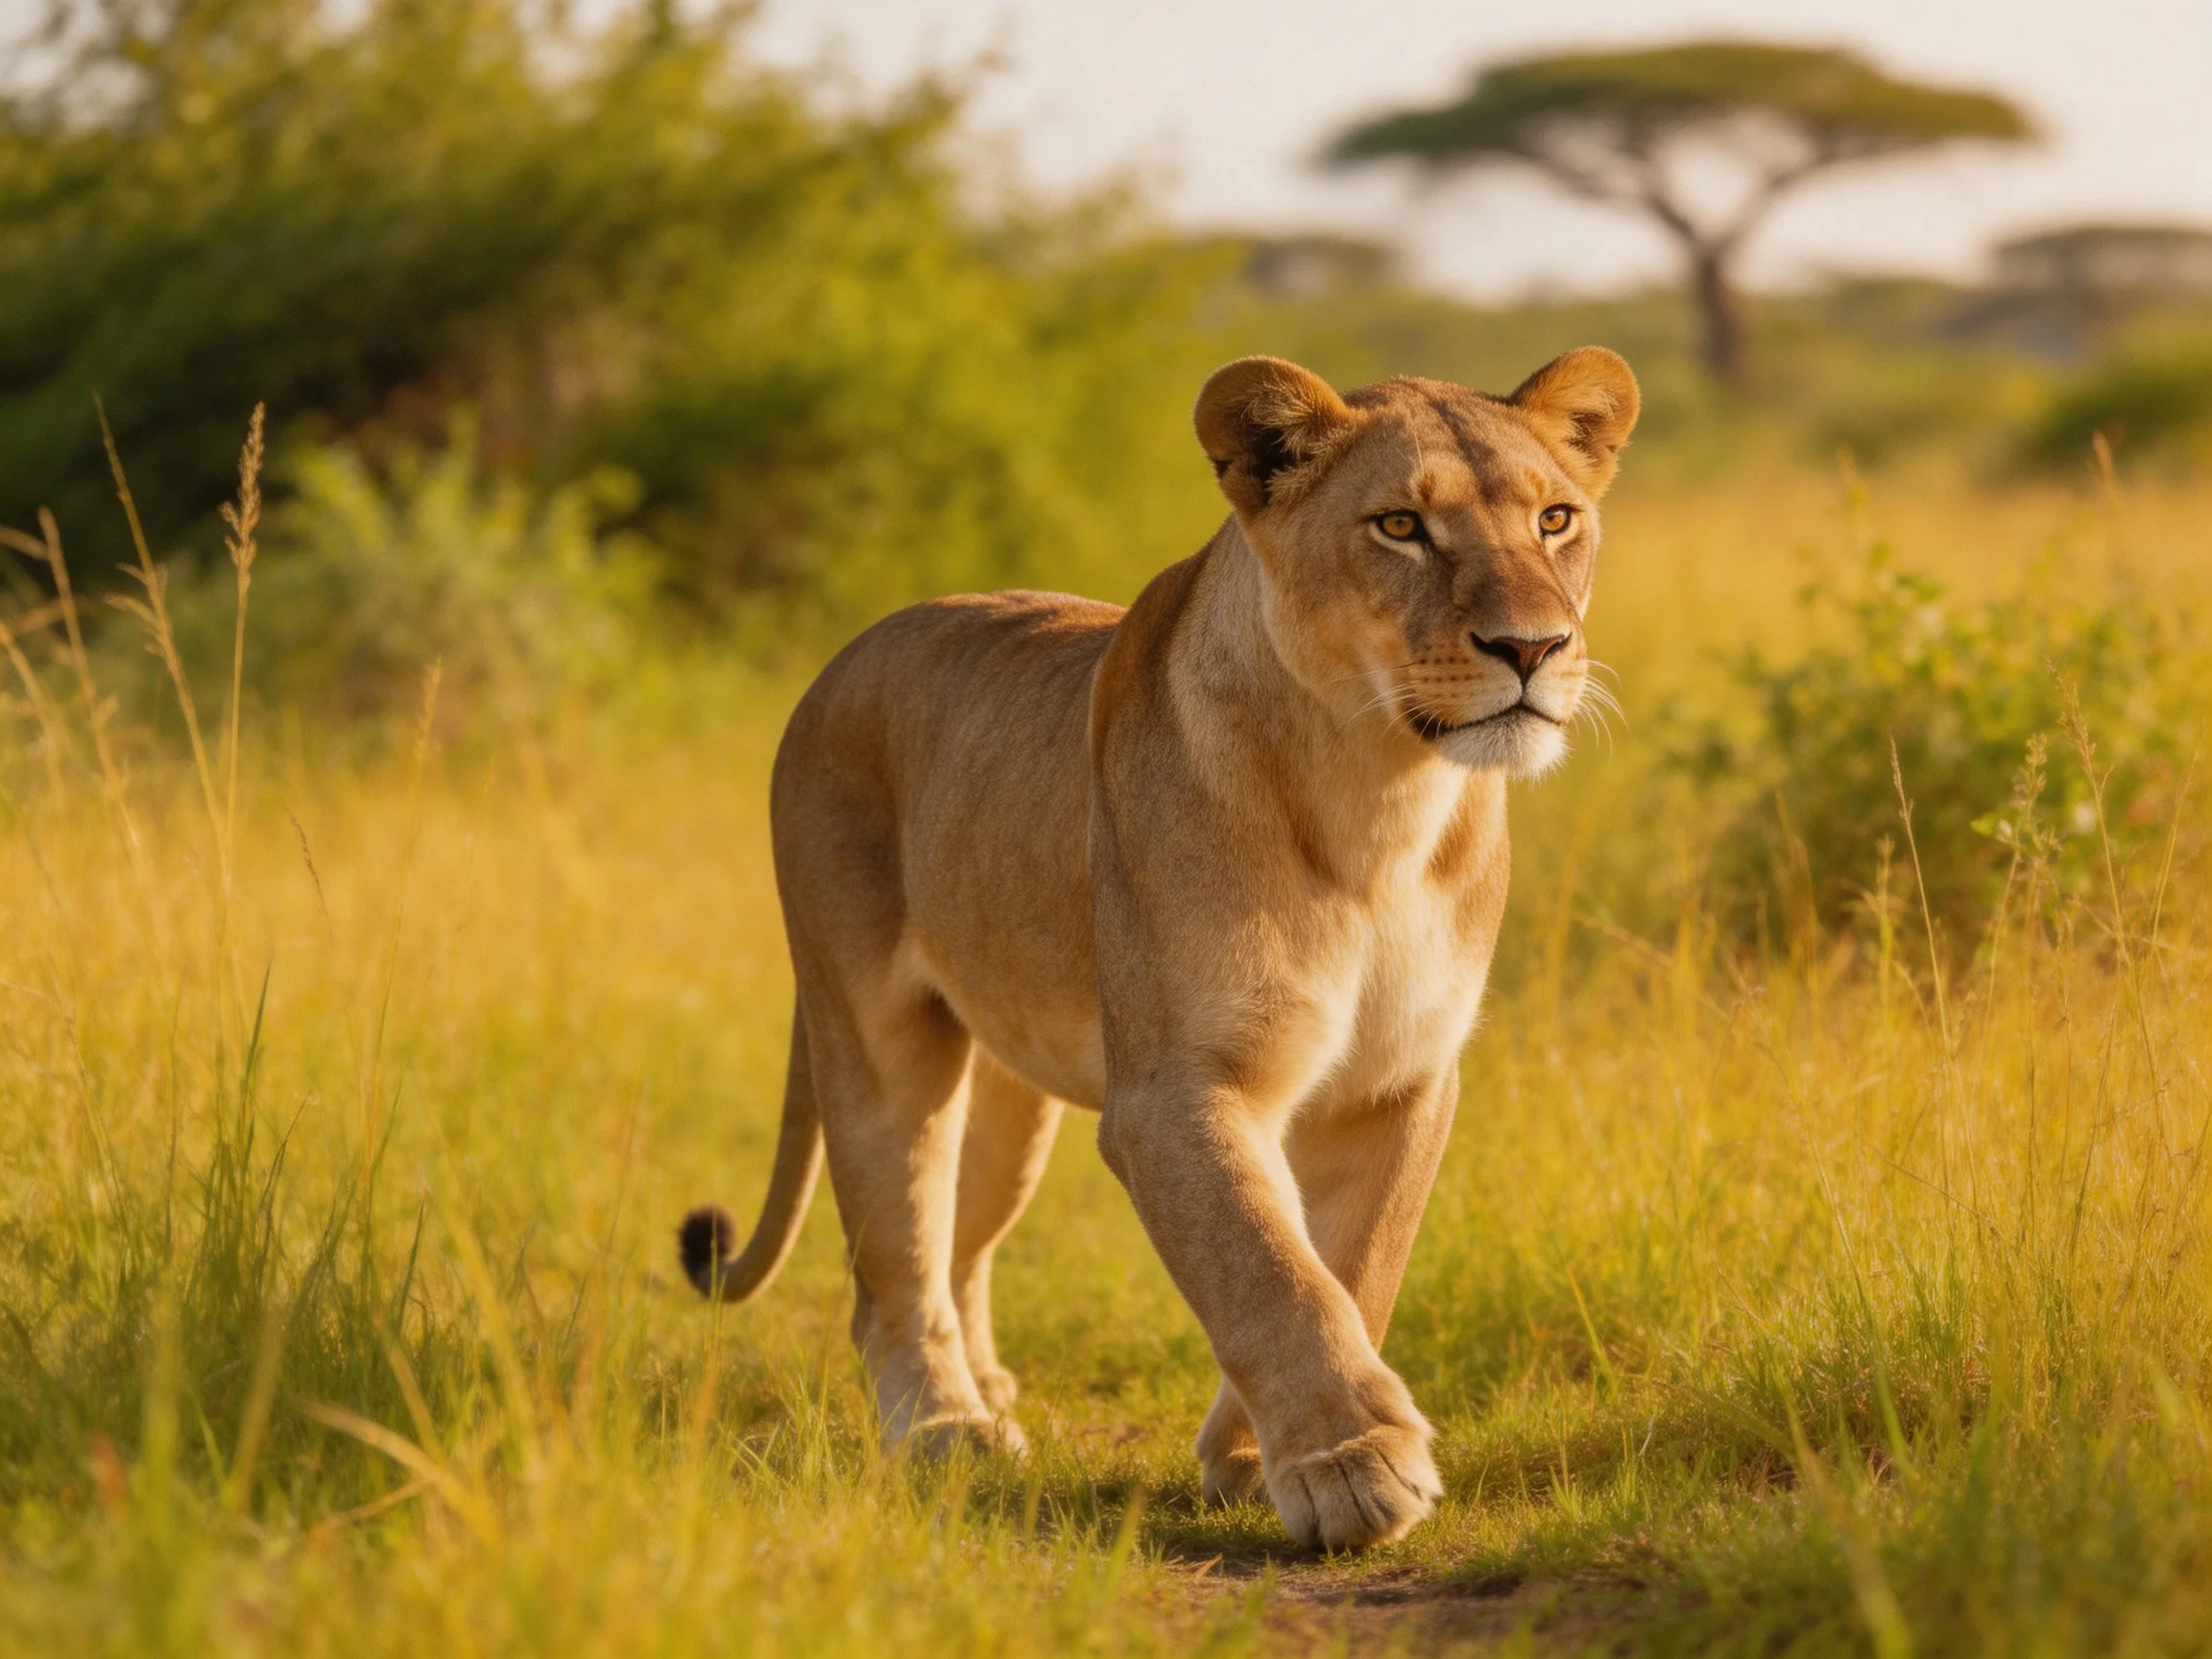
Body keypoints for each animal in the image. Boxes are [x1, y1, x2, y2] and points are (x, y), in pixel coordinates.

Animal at [679, 346, 1639, 1551]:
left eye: (1557, 519)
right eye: (1401, 527)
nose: (1533, 647)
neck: (1379, 795)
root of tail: (841, 658)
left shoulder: (1400, 1081)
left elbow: (1352, 1264)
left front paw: (1253, 1454)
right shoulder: (1176, 1087)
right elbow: (1267, 1266)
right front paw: (1349, 1465)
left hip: (1014, 1102)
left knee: (963, 1245)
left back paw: (993, 1394)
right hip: (875, 1036)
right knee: (892, 1261)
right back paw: (946, 1427)